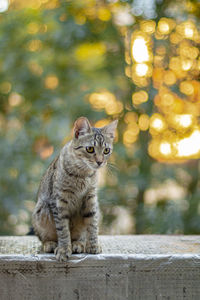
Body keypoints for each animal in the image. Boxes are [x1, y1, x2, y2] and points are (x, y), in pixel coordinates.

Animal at [32, 116, 118, 262]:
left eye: (106, 150)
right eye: (90, 149)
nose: (100, 161)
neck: (83, 174)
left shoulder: (91, 199)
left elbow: (92, 225)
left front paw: (93, 245)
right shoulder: (58, 202)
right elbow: (63, 230)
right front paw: (63, 249)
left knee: (79, 236)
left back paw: (78, 244)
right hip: (41, 210)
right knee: (44, 237)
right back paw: (50, 244)